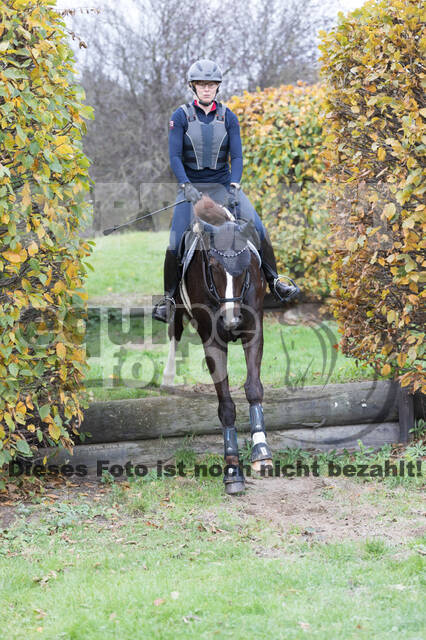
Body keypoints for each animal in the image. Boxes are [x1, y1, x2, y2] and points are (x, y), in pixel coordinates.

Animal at [160, 195, 272, 496]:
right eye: (213, 266)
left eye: (245, 267)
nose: (231, 320)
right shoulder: (212, 341)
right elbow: (226, 405)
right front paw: (232, 469)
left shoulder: (254, 331)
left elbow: (253, 389)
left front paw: (261, 451)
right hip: (176, 309)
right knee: (174, 334)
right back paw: (168, 379)